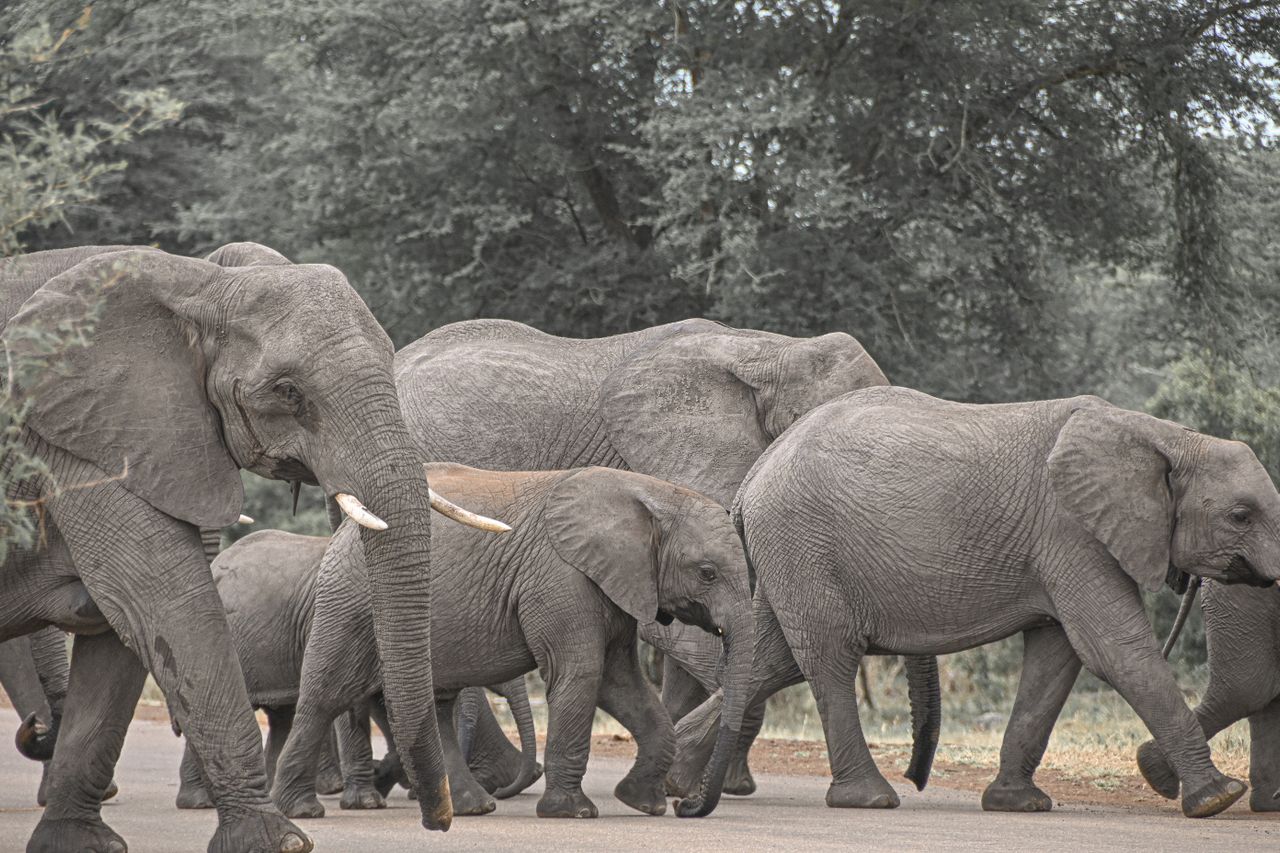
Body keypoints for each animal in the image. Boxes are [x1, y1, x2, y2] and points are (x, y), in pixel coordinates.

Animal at [0, 243, 500, 852]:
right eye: (288, 392)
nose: (439, 821)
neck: (199, 283)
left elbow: (118, 629)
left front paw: (80, 845)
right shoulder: (82, 439)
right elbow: (163, 602)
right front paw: (277, 841)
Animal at [270, 462, 754, 821]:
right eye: (707, 573)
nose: (687, 805)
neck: (652, 494)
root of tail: (341, 533)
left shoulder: (616, 585)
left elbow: (620, 684)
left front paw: (642, 803)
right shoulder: (561, 578)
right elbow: (582, 674)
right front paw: (572, 813)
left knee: (435, 702)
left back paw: (471, 808)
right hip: (350, 600)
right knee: (327, 693)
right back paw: (300, 811)